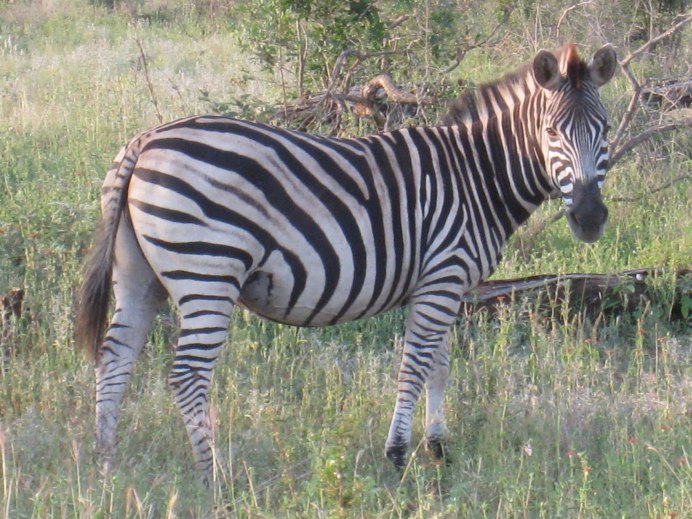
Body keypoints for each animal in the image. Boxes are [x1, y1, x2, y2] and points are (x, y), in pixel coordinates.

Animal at [76, 43, 617, 481]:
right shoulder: (443, 276)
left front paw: (439, 449)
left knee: (115, 358)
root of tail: (144, 141)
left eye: (606, 130)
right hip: (207, 271)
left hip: (140, 277)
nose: (590, 218)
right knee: (187, 375)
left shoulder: (444, 283)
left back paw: (108, 465)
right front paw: (397, 456)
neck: (475, 176)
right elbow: (415, 366)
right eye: (551, 131)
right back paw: (213, 476)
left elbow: (440, 365)